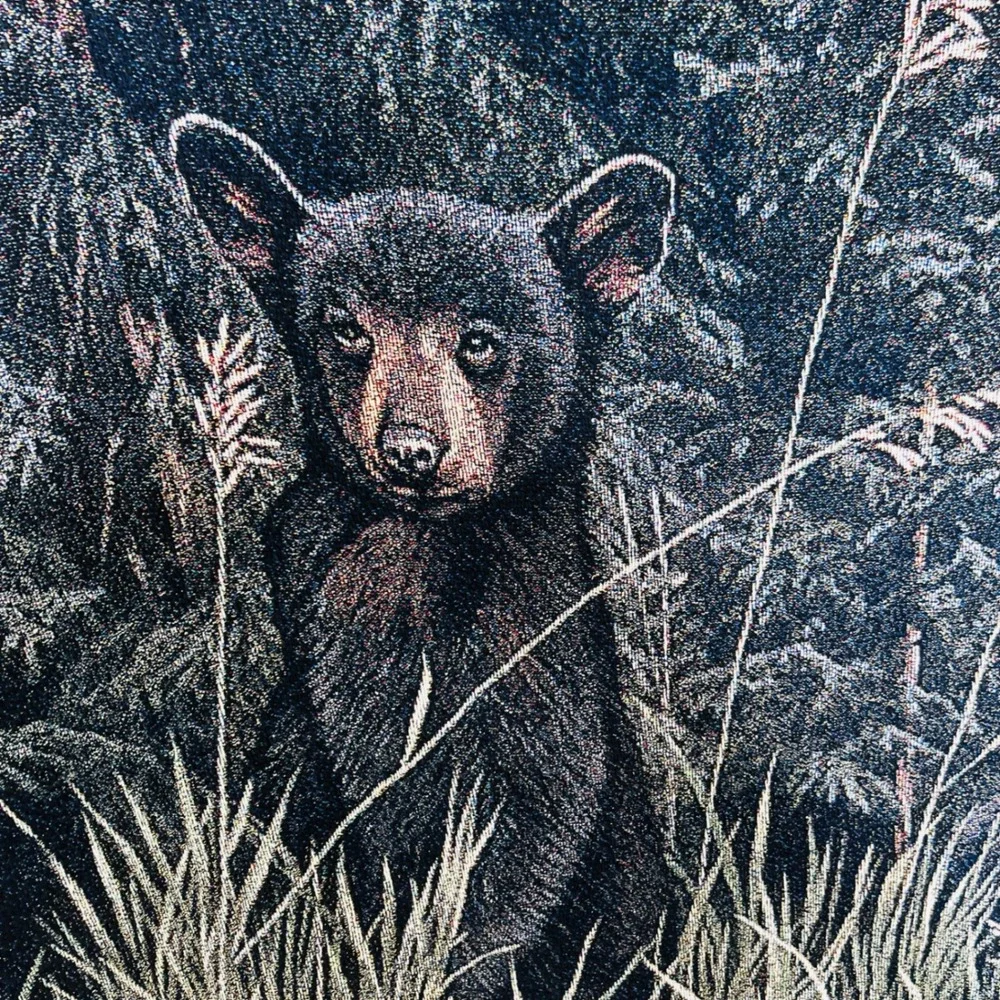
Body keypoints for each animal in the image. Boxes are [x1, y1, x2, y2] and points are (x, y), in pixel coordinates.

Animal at [171, 113, 677, 999]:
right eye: (346, 326)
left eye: (479, 341)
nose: (411, 449)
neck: (414, 565)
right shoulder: (310, 727)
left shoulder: (536, 688)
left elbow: (519, 864)